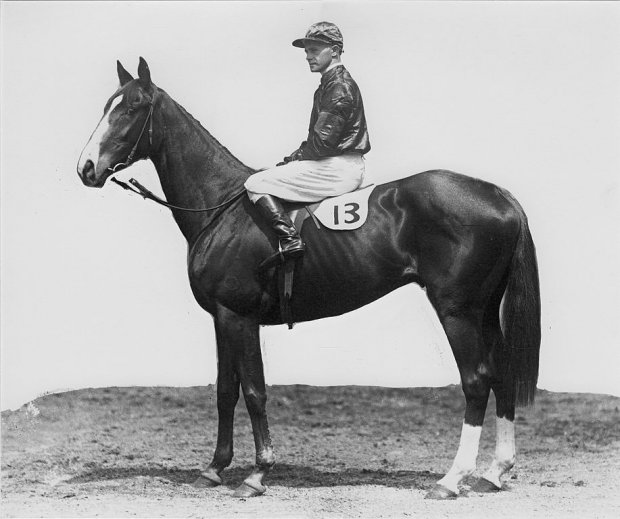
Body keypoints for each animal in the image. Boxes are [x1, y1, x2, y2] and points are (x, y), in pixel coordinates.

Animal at [77, 59, 540, 502]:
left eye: (132, 108)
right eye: (107, 106)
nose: (86, 168)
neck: (221, 206)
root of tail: (499, 195)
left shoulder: (239, 317)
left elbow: (255, 392)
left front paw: (258, 474)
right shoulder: (221, 318)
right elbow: (225, 391)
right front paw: (213, 469)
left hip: (457, 311)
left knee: (476, 382)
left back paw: (451, 479)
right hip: (484, 311)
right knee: (501, 375)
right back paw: (494, 474)